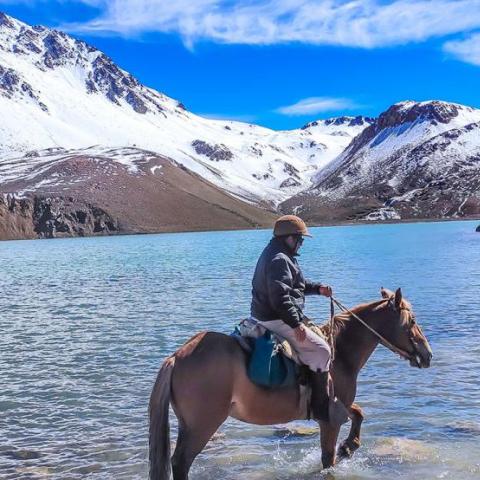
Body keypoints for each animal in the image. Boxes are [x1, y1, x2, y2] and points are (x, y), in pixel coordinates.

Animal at [148, 286, 434, 478]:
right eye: (412, 320)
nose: (427, 354)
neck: (340, 353)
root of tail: (177, 356)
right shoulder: (329, 419)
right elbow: (327, 458)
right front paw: (344, 448)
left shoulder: (340, 406)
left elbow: (359, 413)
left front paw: (349, 446)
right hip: (202, 426)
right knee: (181, 462)